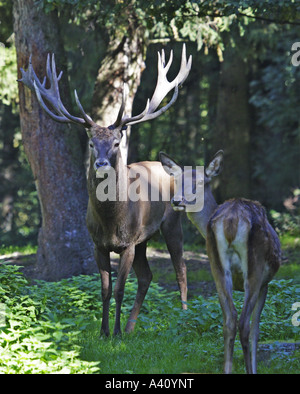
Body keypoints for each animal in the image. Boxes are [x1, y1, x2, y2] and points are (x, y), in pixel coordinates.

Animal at [19, 45, 192, 336]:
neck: (112, 221)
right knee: (147, 276)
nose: (101, 164)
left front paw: (117, 334)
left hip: (171, 222)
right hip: (144, 240)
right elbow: (105, 290)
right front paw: (104, 332)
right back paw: (133, 327)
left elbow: (120, 289)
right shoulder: (98, 244)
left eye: (116, 142)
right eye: (91, 143)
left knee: (180, 268)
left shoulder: (128, 243)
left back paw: (182, 317)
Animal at [161, 150, 280, 372]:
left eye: (200, 182)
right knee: (244, 323)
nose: (177, 201)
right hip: (255, 268)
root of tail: (231, 220)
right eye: (177, 179)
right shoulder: (265, 283)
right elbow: (256, 330)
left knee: (229, 320)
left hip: (216, 266)